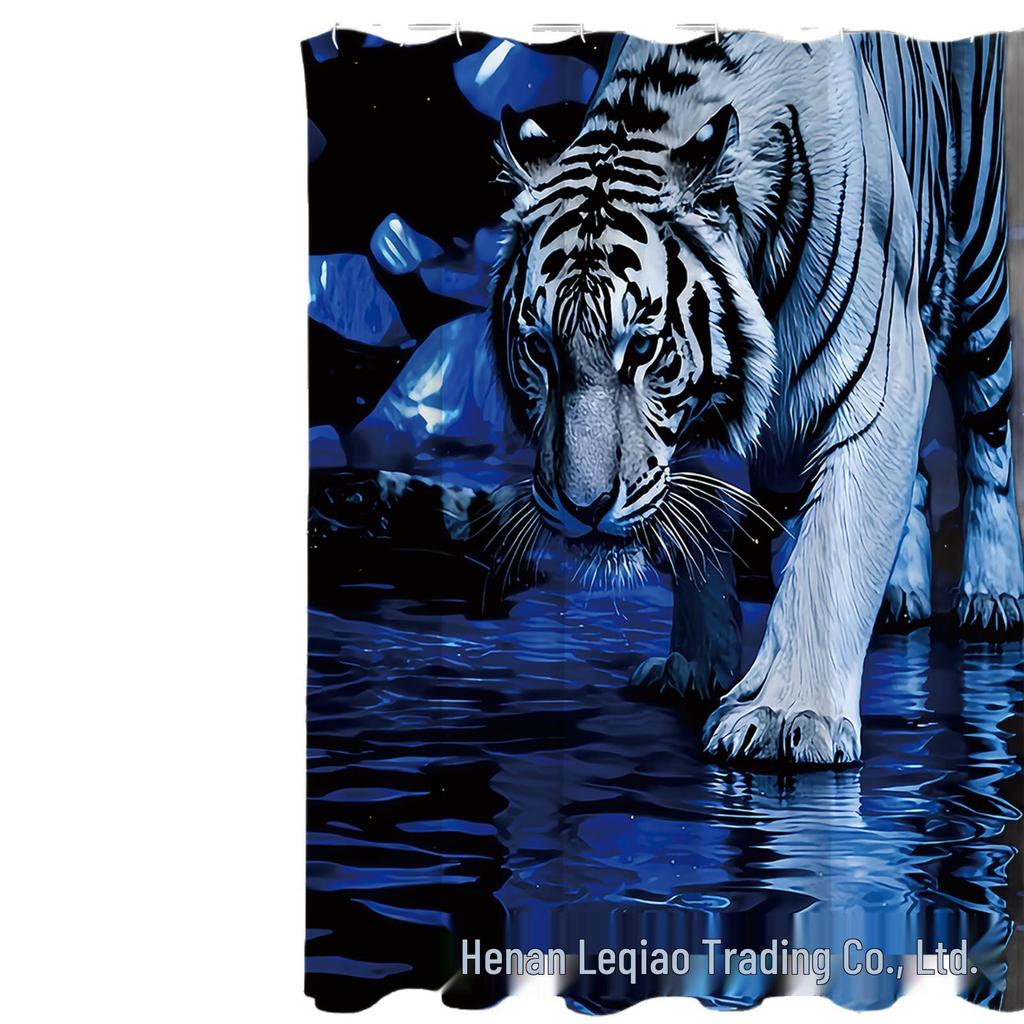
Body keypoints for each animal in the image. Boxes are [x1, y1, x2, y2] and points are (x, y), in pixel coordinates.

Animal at [487, 32, 1024, 765]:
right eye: (541, 349)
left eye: (642, 347)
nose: (584, 508)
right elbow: (697, 536)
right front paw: (695, 667)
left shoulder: (885, 377)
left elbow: (830, 554)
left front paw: (788, 714)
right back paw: (901, 594)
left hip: (977, 247)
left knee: (988, 435)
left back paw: (992, 595)